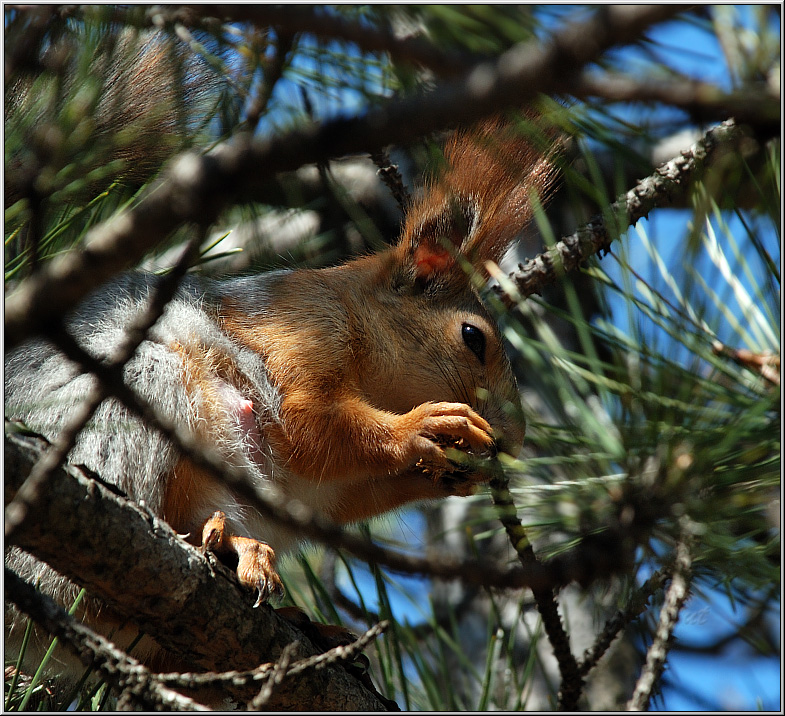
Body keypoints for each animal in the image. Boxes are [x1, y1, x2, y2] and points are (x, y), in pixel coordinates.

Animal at [6, 114, 556, 676]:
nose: (514, 442)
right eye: (473, 338)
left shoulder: (319, 493)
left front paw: (453, 472)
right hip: (133, 397)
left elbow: (341, 492)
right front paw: (423, 426)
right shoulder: (297, 333)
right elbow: (309, 428)